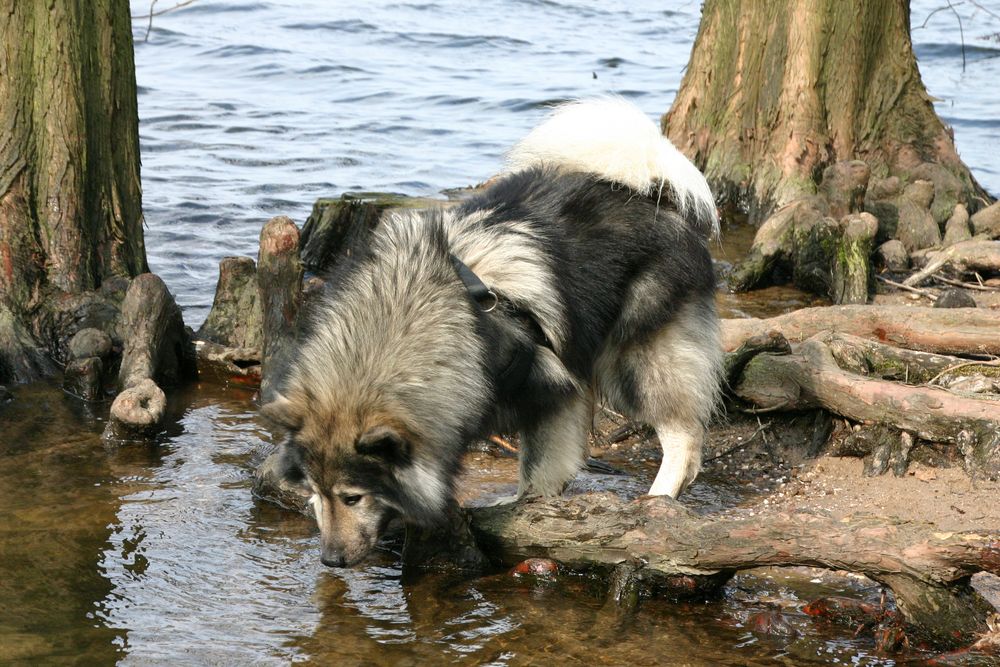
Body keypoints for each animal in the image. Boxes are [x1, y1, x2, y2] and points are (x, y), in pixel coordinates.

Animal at [262, 98, 724, 568]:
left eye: (352, 497)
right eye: (317, 492)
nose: (330, 560)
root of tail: (651, 192)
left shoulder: (553, 391)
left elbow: (540, 465)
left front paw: (530, 509)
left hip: (633, 358)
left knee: (683, 438)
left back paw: (659, 499)